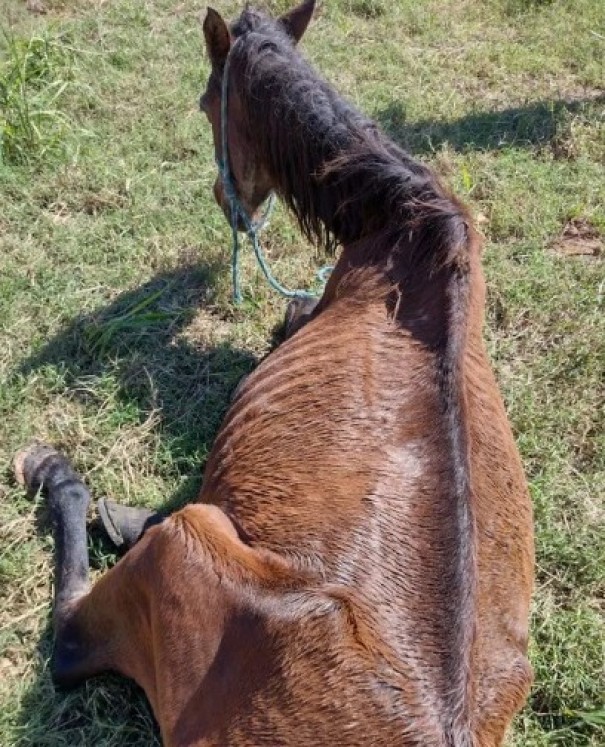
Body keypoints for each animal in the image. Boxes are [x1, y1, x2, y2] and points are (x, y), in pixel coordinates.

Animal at [14, 2, 534, 745]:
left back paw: (62, 478)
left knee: (69, 637)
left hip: (184, 542)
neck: (403, 223)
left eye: (207, 102)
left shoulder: (298, 318)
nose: (227, 202)